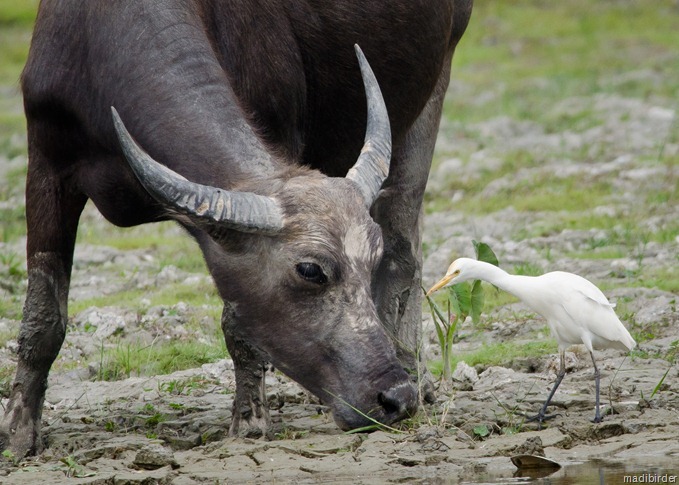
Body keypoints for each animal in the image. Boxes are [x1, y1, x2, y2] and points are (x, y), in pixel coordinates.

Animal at [0, 0, 473, 457]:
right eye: (310, 270)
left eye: (369, 258)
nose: (396, 397)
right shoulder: (46, 165)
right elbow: (43, 315)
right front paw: (19, 435)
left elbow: (238, 325)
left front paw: (249, 423)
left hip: (436, 83)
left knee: (405, 248)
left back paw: (417, 371)